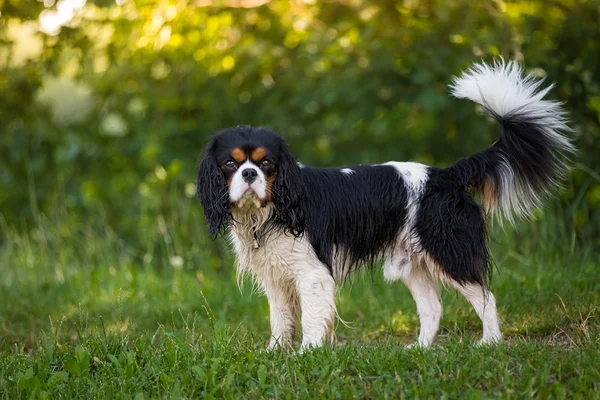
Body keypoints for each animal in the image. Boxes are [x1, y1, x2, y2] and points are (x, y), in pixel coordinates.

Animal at [196, 60, 572, 350]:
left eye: (267, 164)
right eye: (229, 164)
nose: (249, 173)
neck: (268, 211)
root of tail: (445, 175)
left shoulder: (312, 274)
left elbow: (312, 319)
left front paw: (307, 354)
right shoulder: (275, 277)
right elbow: (280, 319)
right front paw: (275, 353)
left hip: (449, 249)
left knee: (485, 297)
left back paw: (489, 343)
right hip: (413, 262)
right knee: (432, 307)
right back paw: (420, 349)